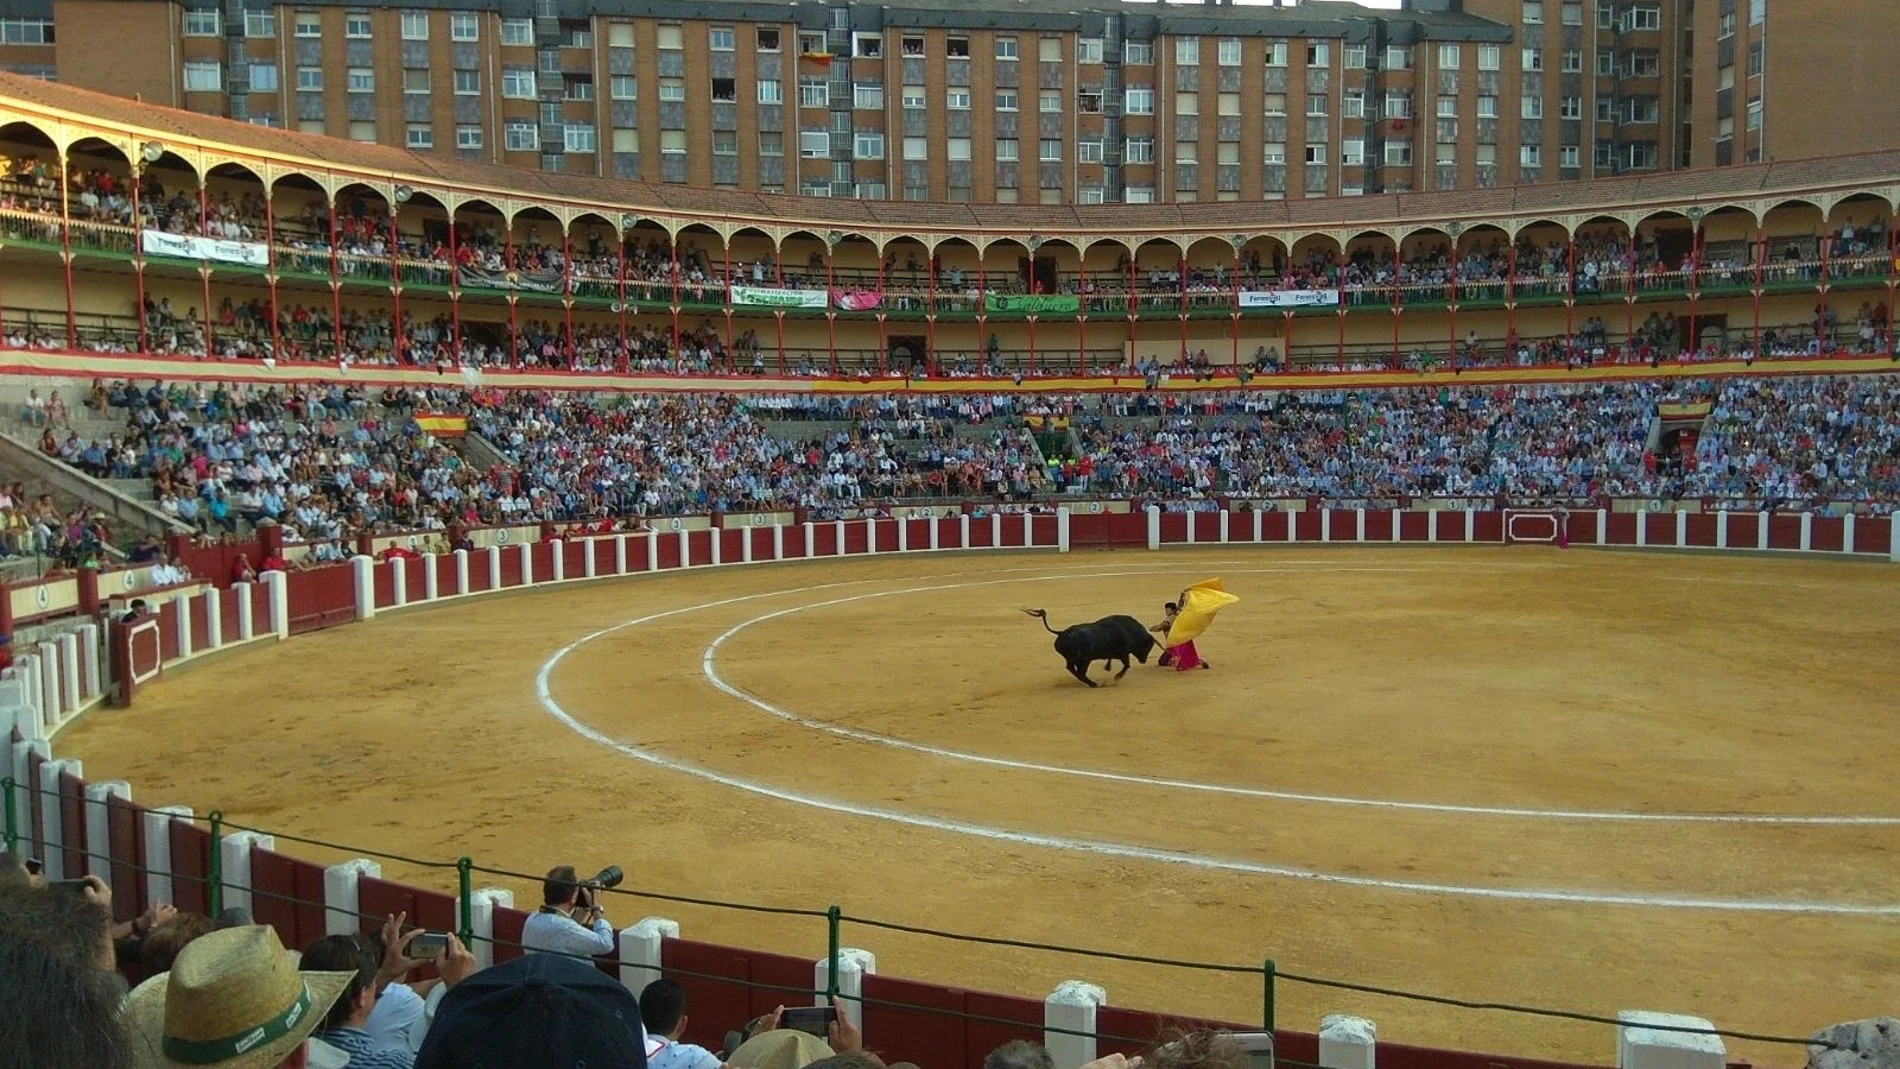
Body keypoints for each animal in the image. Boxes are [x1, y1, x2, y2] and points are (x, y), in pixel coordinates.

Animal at [1026, 607, 1155, 691]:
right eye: (1147, 646)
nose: (1143, 660)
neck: (1130, 631)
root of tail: (1061, 632)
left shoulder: (1118, 654)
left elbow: (1118, 663)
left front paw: (1110, 670)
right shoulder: (1124, 653)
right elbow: (1127, 665)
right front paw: (1117, 677)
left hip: (1075, 659)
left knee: (1074, 670)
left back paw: (1091, 683)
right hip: (1084, 660)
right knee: (1080, 672)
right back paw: (1094, 684)